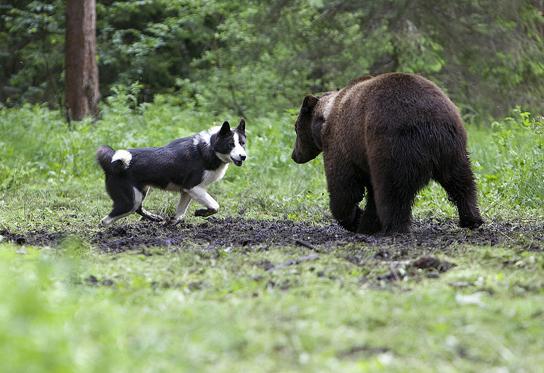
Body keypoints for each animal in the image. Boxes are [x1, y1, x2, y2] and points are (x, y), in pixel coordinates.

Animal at [95, 120, 246, 224]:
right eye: (231, 144)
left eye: (242, 143)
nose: (243, 156)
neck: (210, 149)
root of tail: (111, 162)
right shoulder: (194, 187)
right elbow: (215, 206)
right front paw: (201, 212)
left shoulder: (186, 191)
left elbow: (180, 213)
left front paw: (173, 222)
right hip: (129, 201)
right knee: (105, 221)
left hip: (140, 193)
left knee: (138, 209)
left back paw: (155, 218)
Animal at [292, 72, 482, 232]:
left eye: (295, 127)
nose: (295, 155)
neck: (324, 121)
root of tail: (430, 123)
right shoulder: (363, 156)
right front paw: (365, 222)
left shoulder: (342, 144)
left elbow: (344, 187)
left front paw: (355, 220)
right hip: (452, 146)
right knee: (461, 181)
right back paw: (471, 218)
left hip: (392, 144)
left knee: (392, 189)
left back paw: (394, 226)